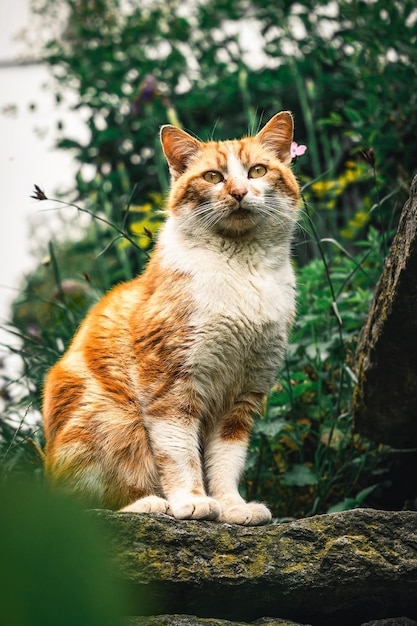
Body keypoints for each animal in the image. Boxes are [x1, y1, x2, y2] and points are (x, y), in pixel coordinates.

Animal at [43, 111, 300, 520]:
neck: (242, 270)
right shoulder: (170, 385)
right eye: (213, 176)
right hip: (112, 419)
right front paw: (192, 501)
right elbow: (180, 455)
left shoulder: (242, 397)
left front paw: (233, 507)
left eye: (257, 171)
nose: (238, 192)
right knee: (81, 503)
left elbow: (226, 460)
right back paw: (148, 503)